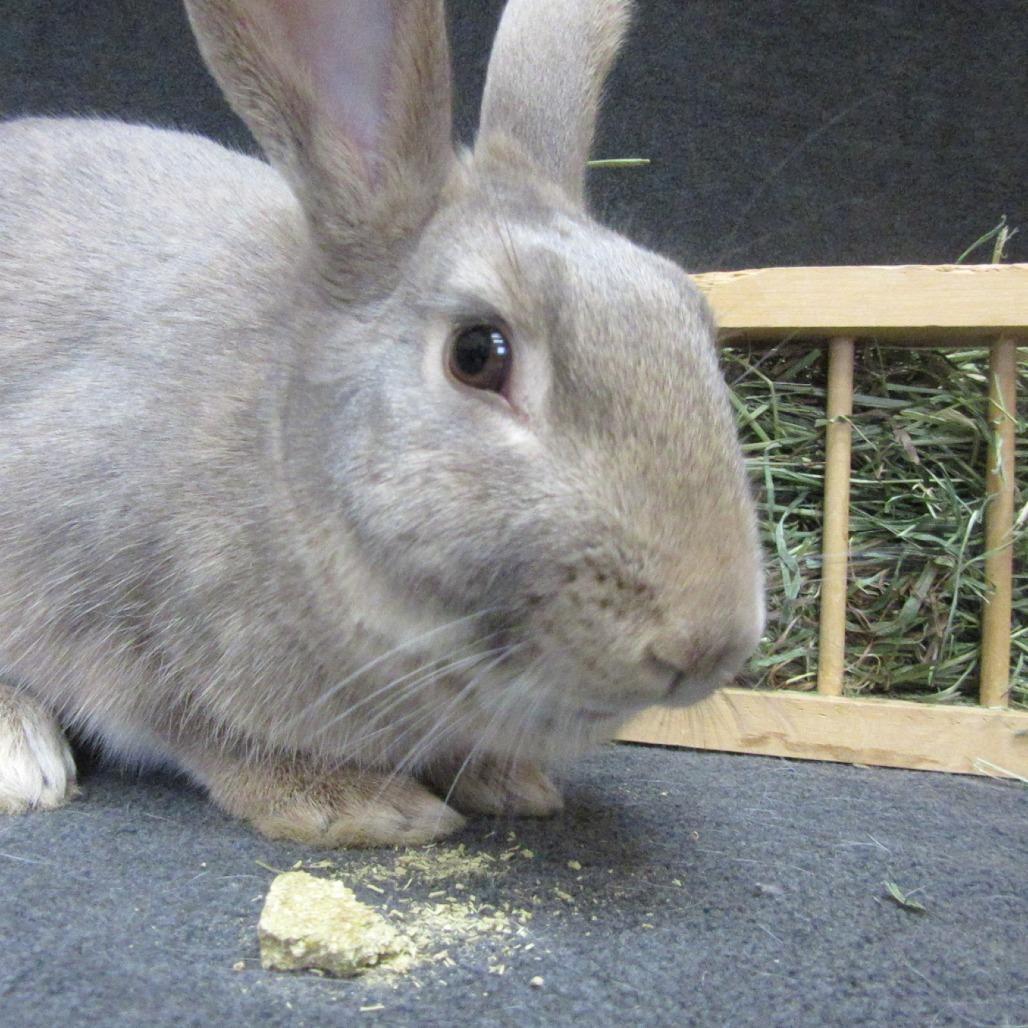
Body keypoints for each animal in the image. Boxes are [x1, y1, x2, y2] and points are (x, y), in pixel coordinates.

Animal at [0, 0, 765, 847]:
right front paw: (359, 806)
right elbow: (208, 734)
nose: (709, 644)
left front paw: (511, 784)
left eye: (693, 316)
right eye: (477, 354)